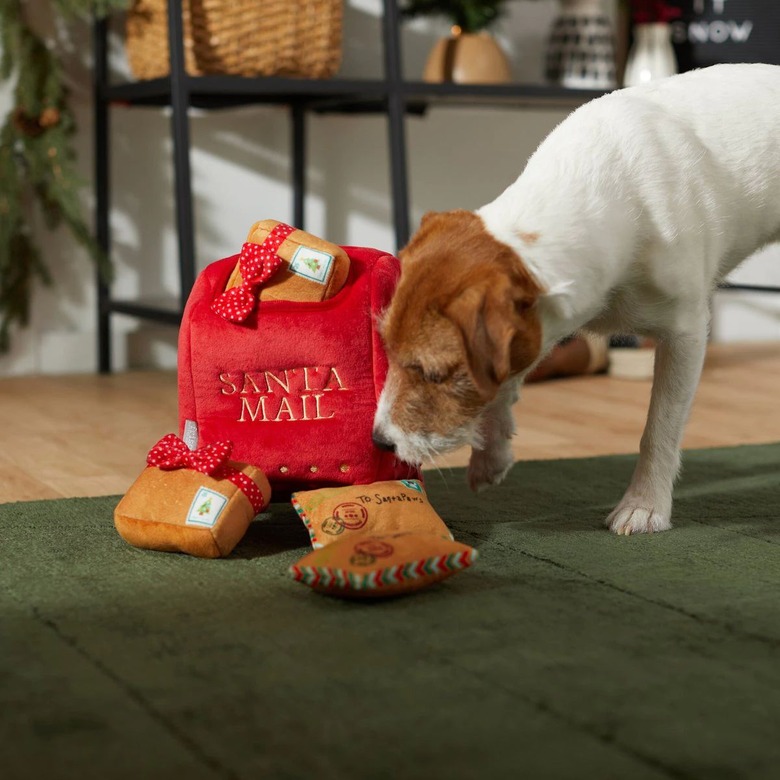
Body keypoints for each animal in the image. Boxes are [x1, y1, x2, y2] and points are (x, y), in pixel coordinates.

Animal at [372, 64, 780, 532]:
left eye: (434, 374)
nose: (379, 441)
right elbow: (504, 382)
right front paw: (491, 453)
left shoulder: (686, 333)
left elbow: (660, 426)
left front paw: (645, 504)